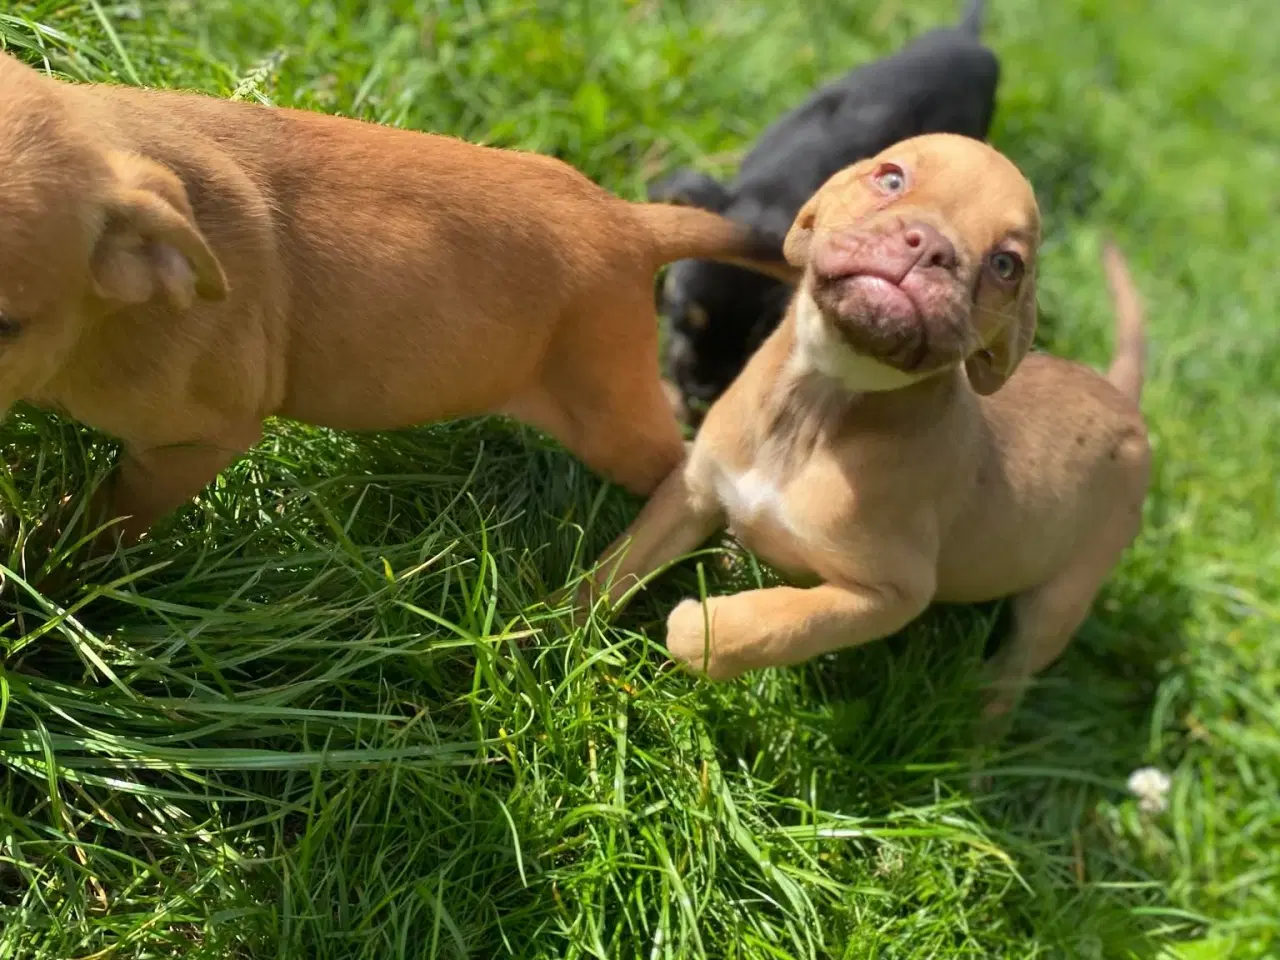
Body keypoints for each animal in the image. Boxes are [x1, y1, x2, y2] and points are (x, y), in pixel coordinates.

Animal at [0, 54, 793, 547]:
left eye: (7, 323)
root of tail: (629, 220)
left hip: (610, 414)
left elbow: (98, 523)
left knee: (679, 470)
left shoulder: (194, 440)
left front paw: (45, 579)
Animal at [581, 131, 1152, 716]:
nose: (929, 246)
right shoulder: (691, 492)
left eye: (1005, 265)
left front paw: (702, 629)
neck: (821, 399)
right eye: (891, 178)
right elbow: (615, 566)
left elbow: (780, 622)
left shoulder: (889, 593)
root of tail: (1122, 399)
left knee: (1013, 674)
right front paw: (560, 631)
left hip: (1060, 600)